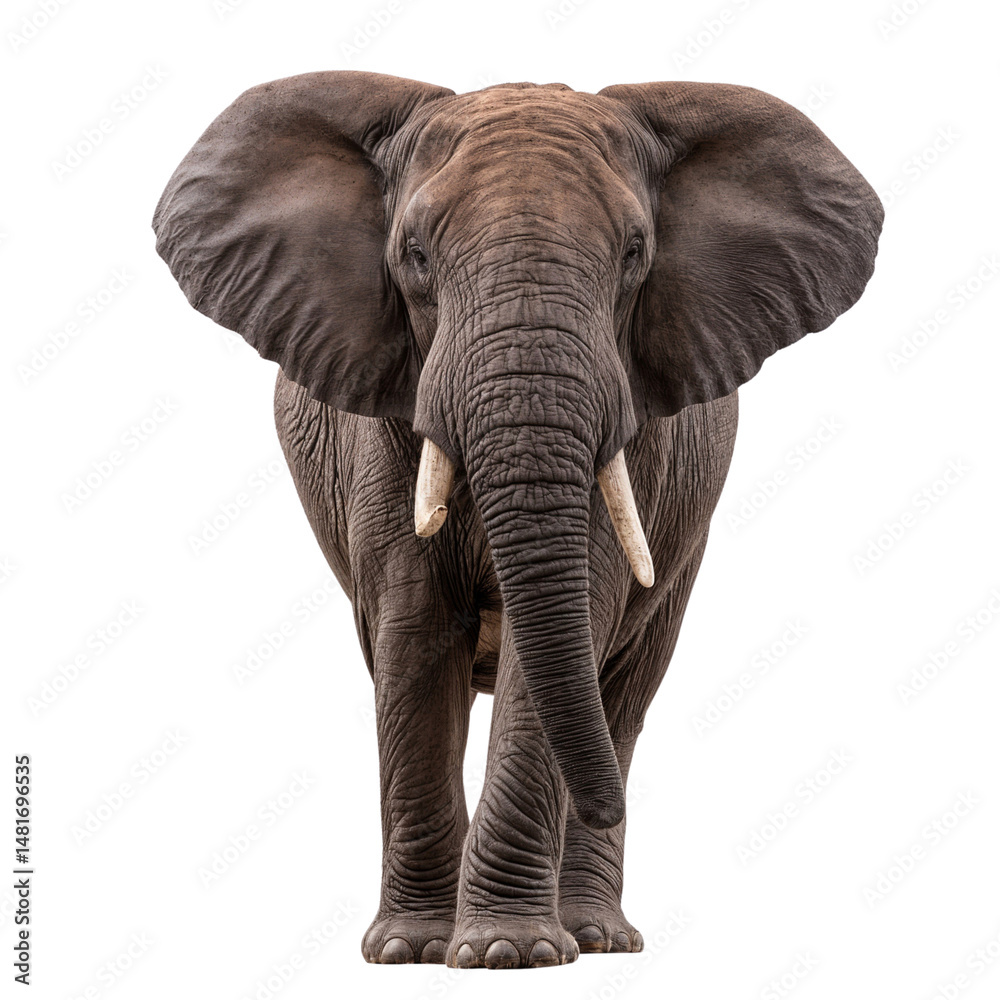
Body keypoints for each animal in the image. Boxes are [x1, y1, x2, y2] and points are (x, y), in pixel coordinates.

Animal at [153, 72, 882, 969]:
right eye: (414, 255)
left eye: (635, 254)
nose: (605, 806)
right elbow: (415, 637)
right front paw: (415, 951)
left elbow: (567, 640)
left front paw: (511, 952)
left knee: (624, 695)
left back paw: (597, 936)